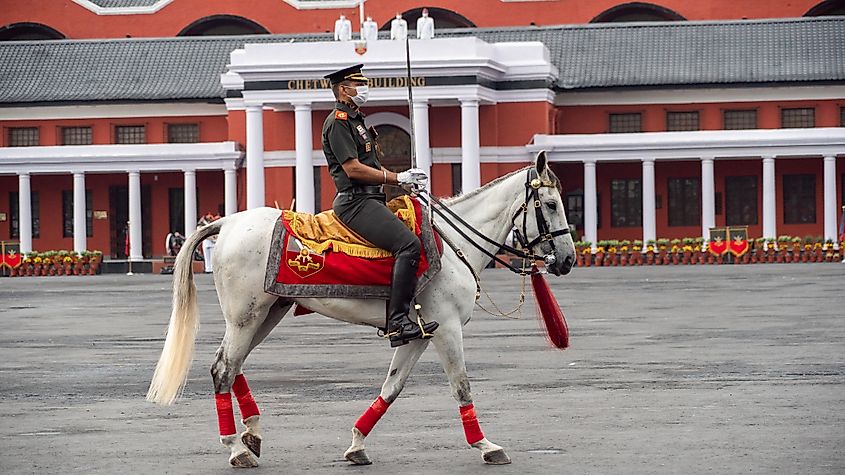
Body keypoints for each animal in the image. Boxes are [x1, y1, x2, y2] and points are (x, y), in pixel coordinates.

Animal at [148, 153, 576, 468]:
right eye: (550, 204)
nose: (569, 259)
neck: (455, 244)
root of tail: (228, 222)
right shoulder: (448, 329)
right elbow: (461, 386)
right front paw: (486, 445)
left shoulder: (419, 332)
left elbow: (391, 388)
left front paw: (356, 444)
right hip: (246, 316)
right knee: (223, 368)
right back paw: (235, 447)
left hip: (267, 311)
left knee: (233, 364)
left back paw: (250, 433)